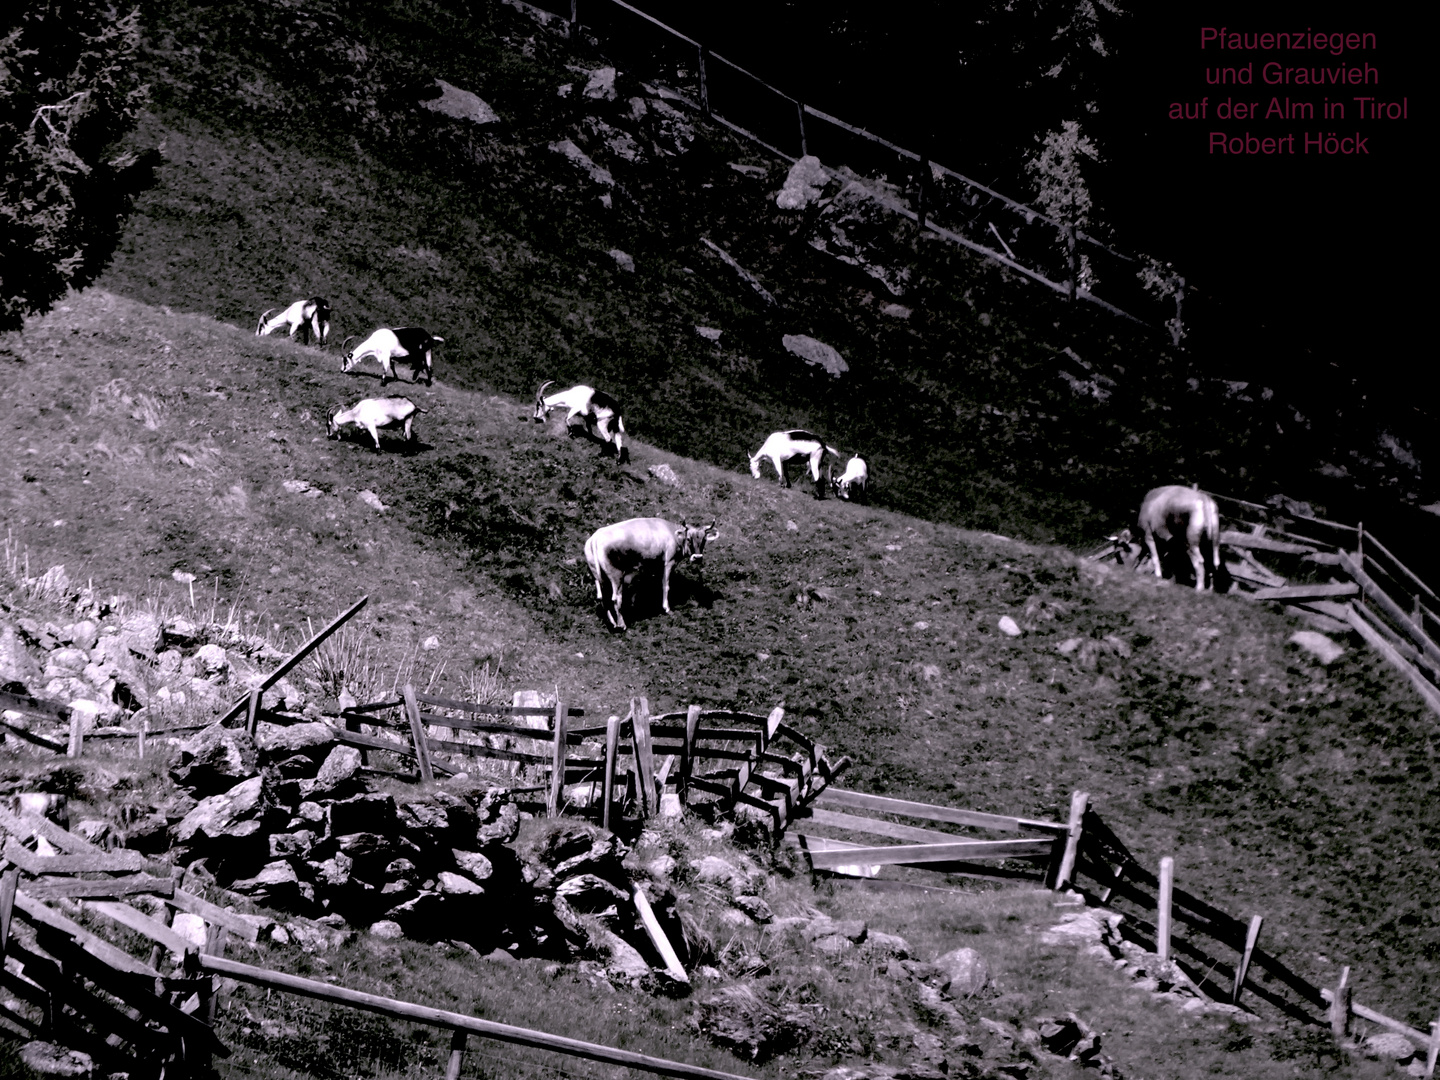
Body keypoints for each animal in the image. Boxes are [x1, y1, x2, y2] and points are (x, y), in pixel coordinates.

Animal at [584, 518, 720, 630]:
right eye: (688, 539)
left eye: (704, 540)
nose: (697, 558)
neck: (672, 533)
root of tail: (596, 537)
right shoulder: (669, 562)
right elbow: (665, 585)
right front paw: (666, 608)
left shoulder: (651, 566)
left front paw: (635, 605)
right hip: (616, 575)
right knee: (615, 598)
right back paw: (622, 625)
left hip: (597, 575)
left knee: (601, 597)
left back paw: (612, 622)